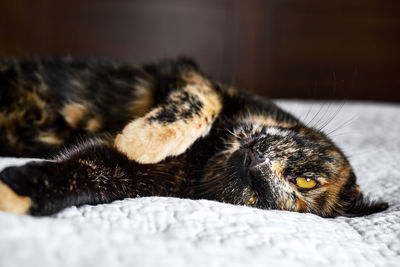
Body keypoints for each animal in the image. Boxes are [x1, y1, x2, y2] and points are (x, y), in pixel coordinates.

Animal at [0, 56, 388, 218]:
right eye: (306, 181)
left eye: (254, 198)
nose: (254, 164)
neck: (208, 153)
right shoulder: (194, 78)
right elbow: (199, 104)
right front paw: (142, 140)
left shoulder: (123, 175)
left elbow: (81, 172)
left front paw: (15, 193)